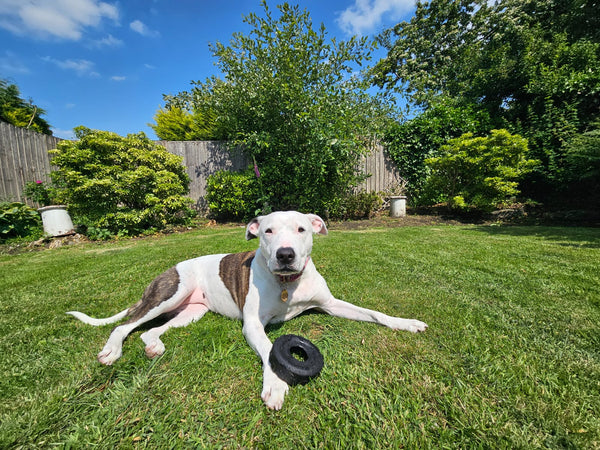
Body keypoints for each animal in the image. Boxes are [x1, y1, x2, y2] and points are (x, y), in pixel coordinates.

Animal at [68, 211, 427, 410]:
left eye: (302, 229)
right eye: (267, 231)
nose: (285, 254)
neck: (288, 283)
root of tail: (170, 269)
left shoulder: (332, 304)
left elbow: (374, 313)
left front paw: (406, 322)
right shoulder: (253, 324)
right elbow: (269, 350)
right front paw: (275, 386)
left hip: (191, 312)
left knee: (151, 331)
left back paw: (154, 345)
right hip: (168, 295)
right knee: (124, 325)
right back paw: (112, 351)